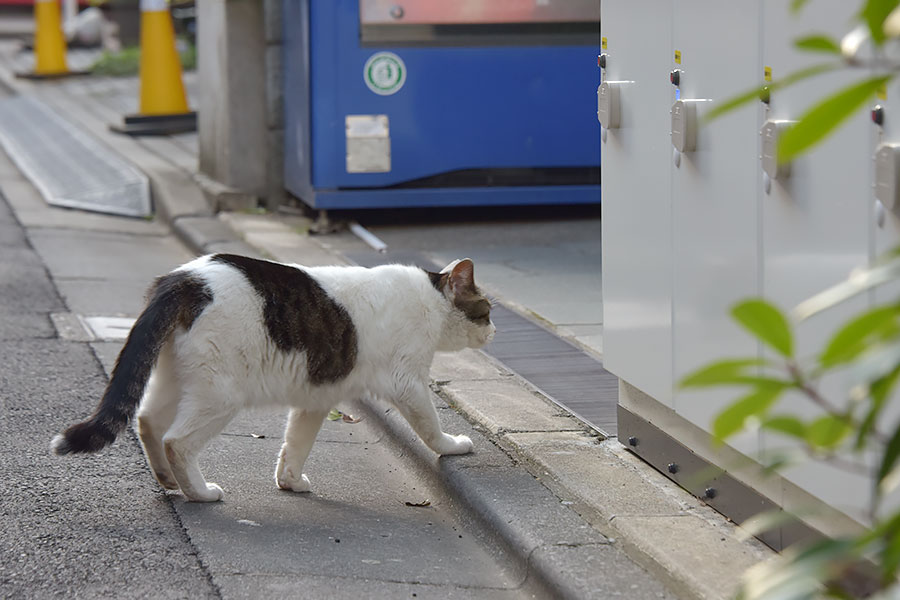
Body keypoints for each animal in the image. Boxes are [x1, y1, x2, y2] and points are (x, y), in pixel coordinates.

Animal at [52, 253, 496, 502]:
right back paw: (200, 493)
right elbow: (431, 427)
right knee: (176, 440)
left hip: (174, 379)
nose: (494, 331)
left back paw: (167, 480)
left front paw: (290, 482)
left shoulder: (316, 398)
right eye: (487, 311)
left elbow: (296, 444)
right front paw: (453, 446)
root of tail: (185, 279)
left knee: (146, 421)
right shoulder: (409, 383)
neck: (431, 299)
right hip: (220, 395)